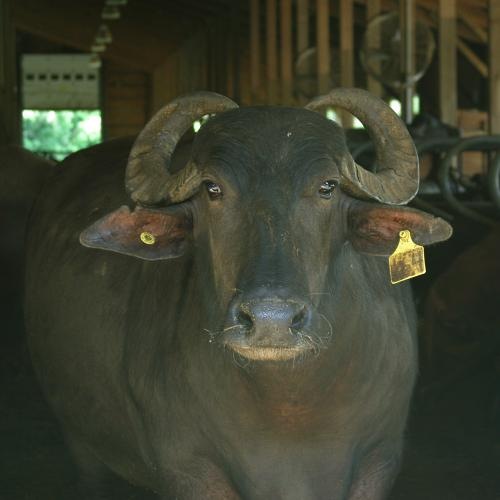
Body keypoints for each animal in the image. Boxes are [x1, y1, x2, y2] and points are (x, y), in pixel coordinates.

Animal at [25, 91, 452, 500]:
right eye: (213, 189)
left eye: (327, 187)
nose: (271, 321)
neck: (289, 404)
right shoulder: (188, 468)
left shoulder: (379, 460)